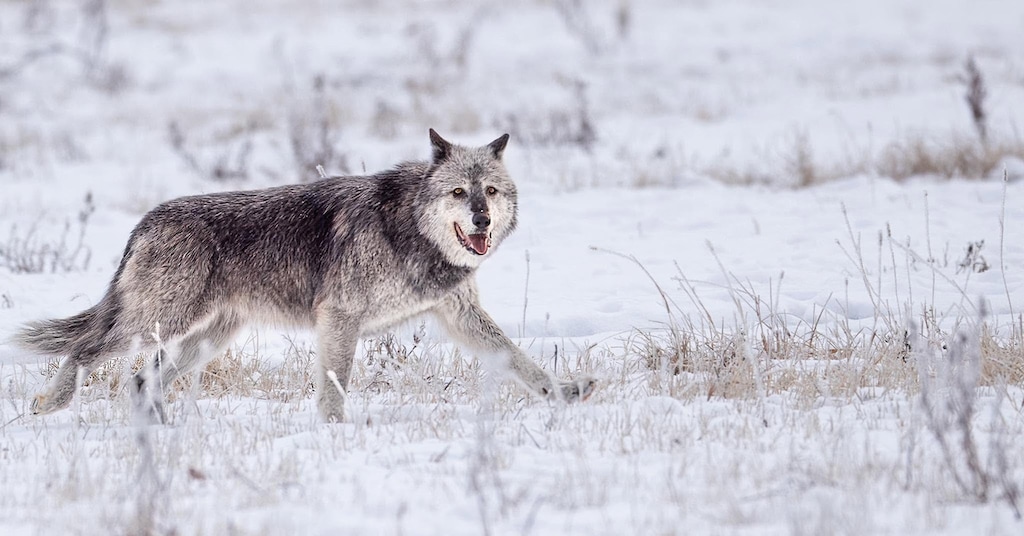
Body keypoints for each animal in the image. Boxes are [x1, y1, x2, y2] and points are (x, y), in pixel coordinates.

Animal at [15, 130, 595, 422]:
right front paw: (334, 434)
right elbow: (335, 386)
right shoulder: (340, 319)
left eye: (490, 191)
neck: (408, 228)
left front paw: (565, 393)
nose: (482, 220)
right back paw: (49, 404)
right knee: (86, 351)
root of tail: (145, 221)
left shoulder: (460, 317)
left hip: (206, 338)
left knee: (140, 380)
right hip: (161, 322)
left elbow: (519, 360)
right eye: (458, 192)